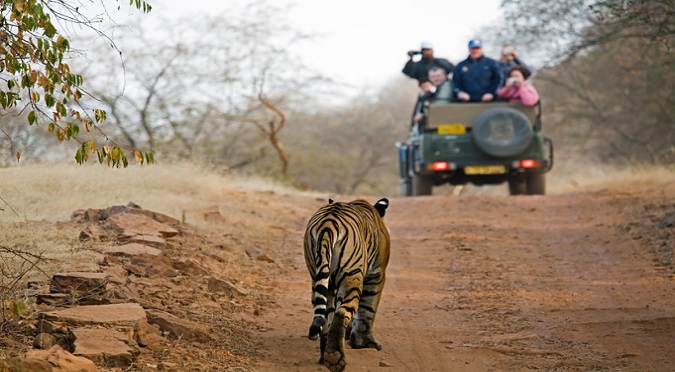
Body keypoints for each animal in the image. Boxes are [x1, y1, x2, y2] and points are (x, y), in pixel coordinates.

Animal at [302, 196, 390, 370]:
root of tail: (327, 224)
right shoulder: (376, 275)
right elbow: (367, 309)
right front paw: (365, 343)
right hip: (351, 275)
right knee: (342, 312)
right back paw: (335, 358)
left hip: (319, 275)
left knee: (326, 316)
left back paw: (326, 357)